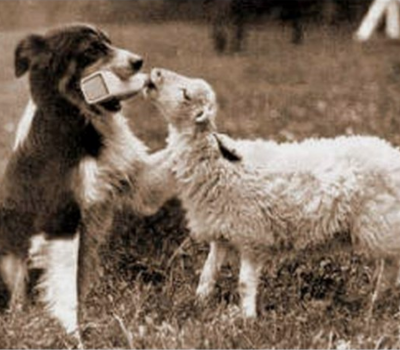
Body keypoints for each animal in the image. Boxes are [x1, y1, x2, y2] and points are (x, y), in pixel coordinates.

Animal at [0, 23, 164, 340]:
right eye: (91, 50)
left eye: (108, 42)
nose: (138, 61)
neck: (77, 118)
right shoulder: (61, 217)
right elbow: (65, 290)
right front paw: (73, 336)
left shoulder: (135, 184)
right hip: (10, 260)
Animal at [146, 67, 400, 318]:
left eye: (186, 94)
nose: (155, 73)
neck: (219, 162)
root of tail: (392, 154)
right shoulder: (222, 232)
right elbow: (207, 275)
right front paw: (198, 305)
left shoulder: (251, 234)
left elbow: (244, 283)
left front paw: (247, 319)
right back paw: (375, 305)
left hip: (382, 225)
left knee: (389, 268)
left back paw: (375, 305)